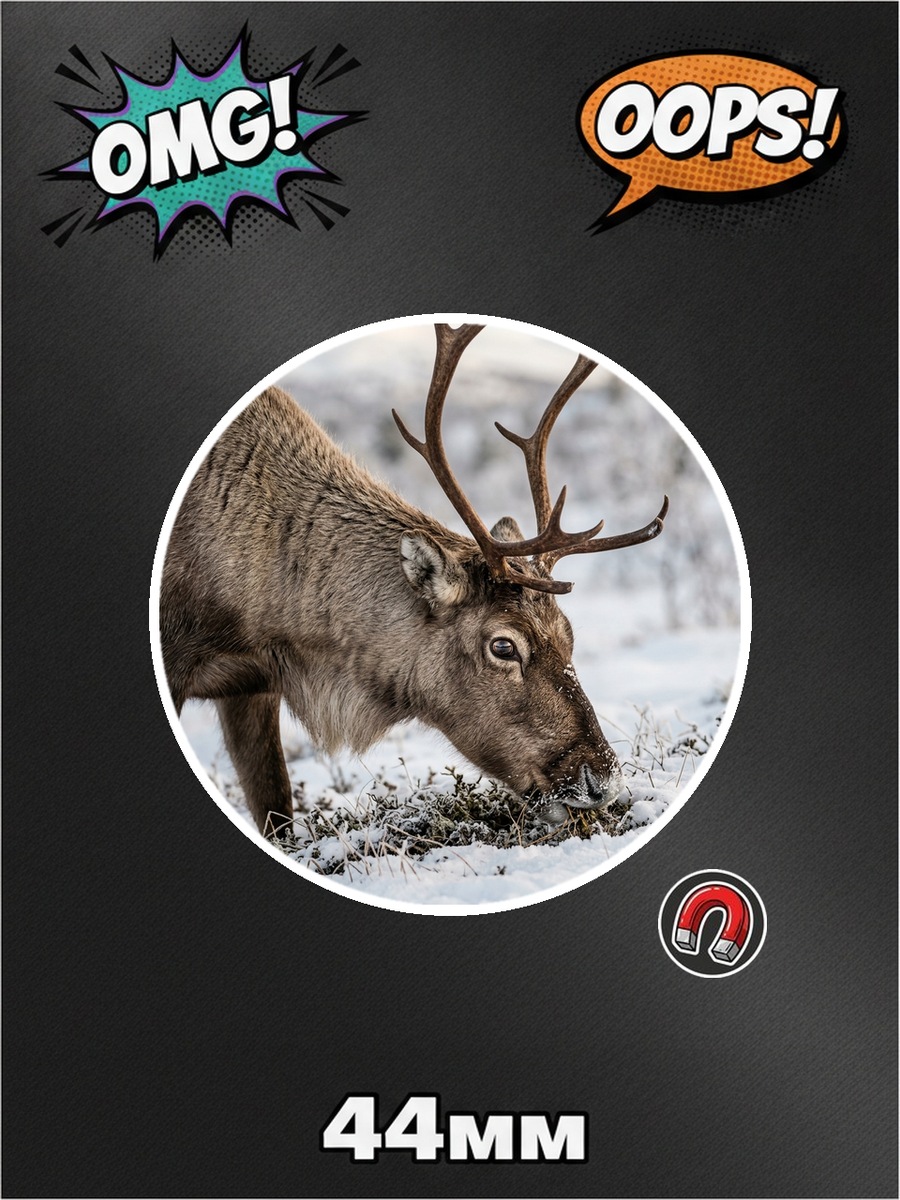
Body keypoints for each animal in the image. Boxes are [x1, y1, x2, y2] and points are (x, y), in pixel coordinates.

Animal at [160, 324, 668, 835]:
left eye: (570, 634)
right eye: (503, 646)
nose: (603, 781)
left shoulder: (254, 685)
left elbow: (276, 808)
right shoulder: (178, 661)